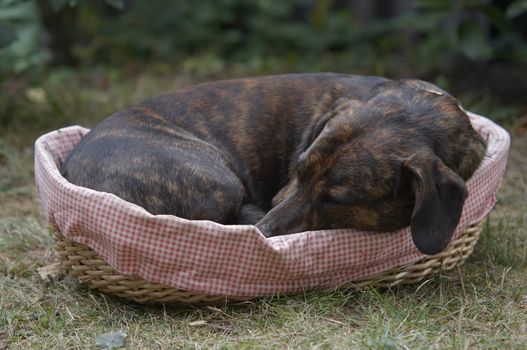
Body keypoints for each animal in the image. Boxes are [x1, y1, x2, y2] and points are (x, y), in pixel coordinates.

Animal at [58, 73, 486, 254]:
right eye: (299, 169)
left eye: (336, 200)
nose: (263, 231)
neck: (421, 112)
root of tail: (69, 168)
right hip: (217, 180)